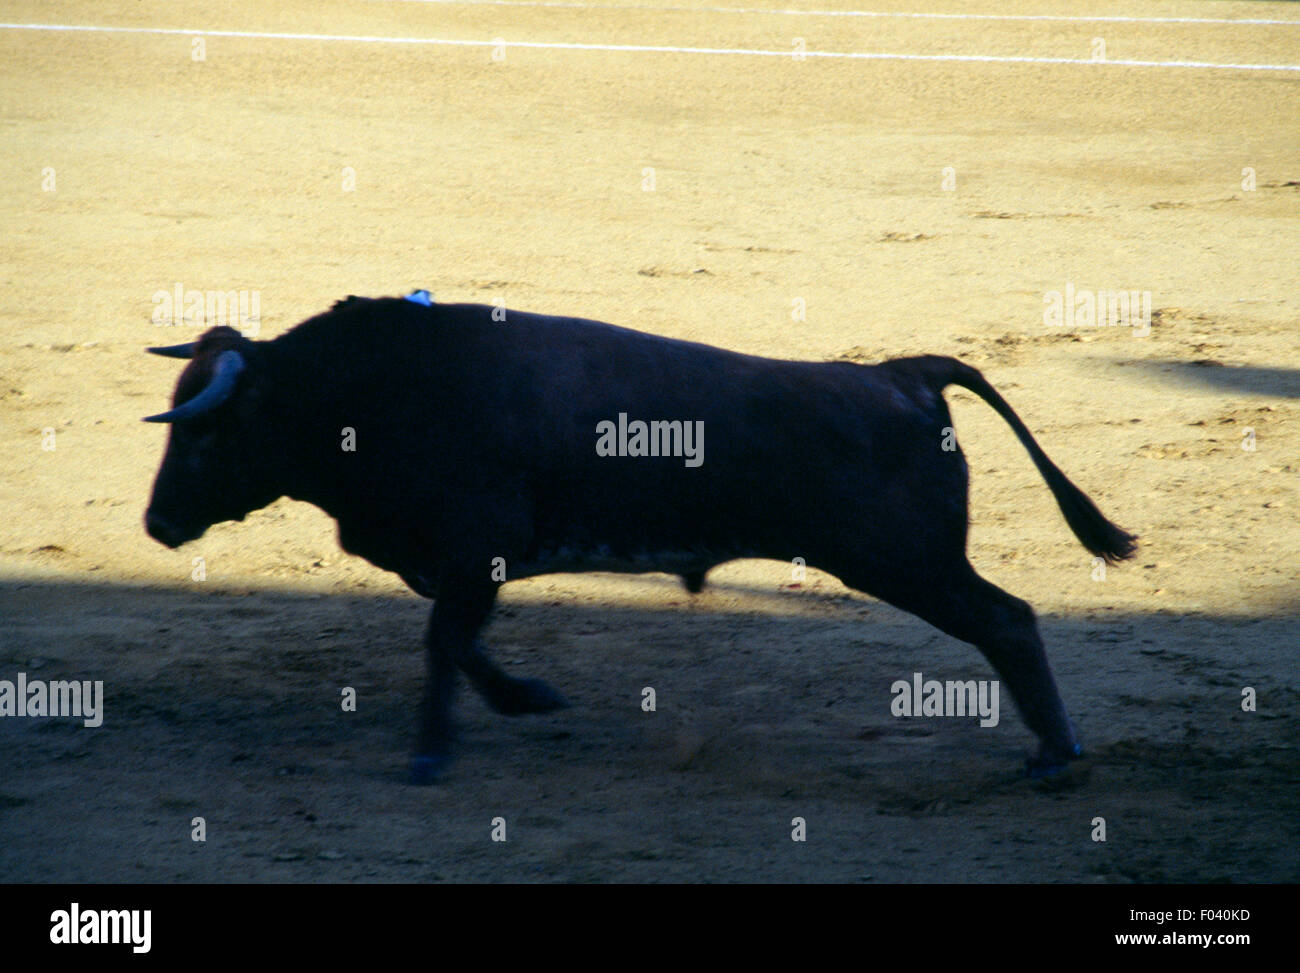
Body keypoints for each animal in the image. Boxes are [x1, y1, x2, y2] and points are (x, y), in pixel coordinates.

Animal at [144, 296, 1138, 780]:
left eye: (202, 434)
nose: (156, 522)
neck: (358, 392)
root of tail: (904, 375)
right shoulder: (460, 564)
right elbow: (459, 643)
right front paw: (526, 698)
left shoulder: (474, 550)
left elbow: (441, 643)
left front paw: (430, 753)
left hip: (909, 561)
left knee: (1006, 620)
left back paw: (1055, 756)